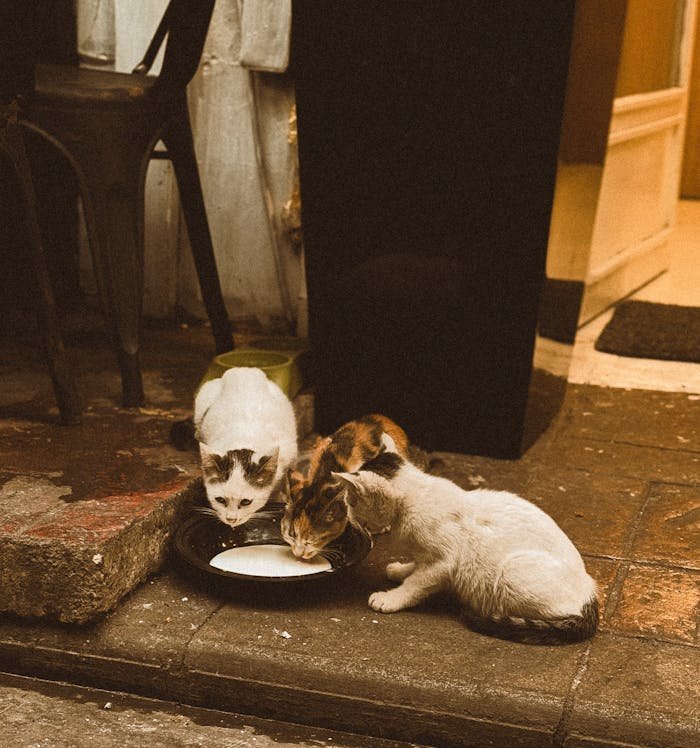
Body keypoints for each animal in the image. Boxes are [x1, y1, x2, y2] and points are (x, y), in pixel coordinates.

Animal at [194, 366, 298, 524]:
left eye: (245, 502)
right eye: (220, 500)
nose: (231, 519)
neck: (243, 438)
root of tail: (244, 369)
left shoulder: (288, 457)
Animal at [334, 438, 596, 644]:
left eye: (351, 500)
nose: (347, 513)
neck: (414, 499)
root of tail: (590, 594)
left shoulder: (444, 562)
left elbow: (417, 583)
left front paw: (391, 597)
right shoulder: (426, 556)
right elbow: (416, 566)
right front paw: (401, 570)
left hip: (511, 570)